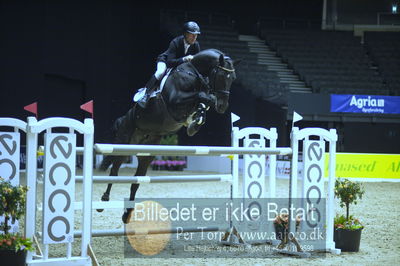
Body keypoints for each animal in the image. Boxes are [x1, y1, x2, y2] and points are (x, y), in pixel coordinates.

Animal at [99, 48, 239, 223]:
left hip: (147, 155)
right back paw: (103, 201)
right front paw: (197, 118)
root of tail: (123, 119)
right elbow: (203, 96)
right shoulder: (176, 101)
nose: (223, 106)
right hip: (123, 146)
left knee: (136, 181)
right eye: (221, 75)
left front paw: (195, 124)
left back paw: (127, 214)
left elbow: (203, 103)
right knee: (114, 172)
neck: (195, 73)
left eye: (233, 79)